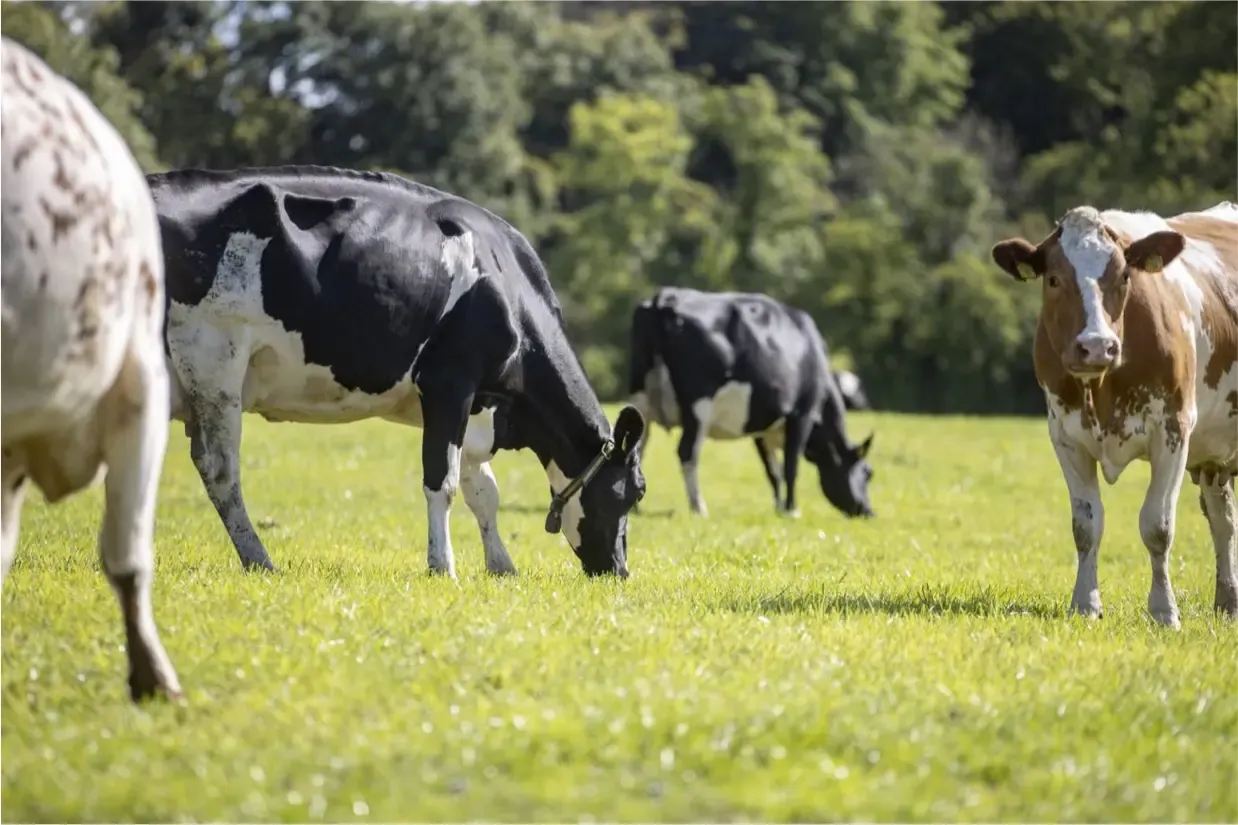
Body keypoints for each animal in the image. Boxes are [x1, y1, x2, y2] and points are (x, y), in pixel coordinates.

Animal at [145, 165, 646, 579]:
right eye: (637, 492)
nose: (619, 572)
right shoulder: (449, 383)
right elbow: (442, 483)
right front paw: (443, 567)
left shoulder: (475, 408)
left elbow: (484, 491)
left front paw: (502, 566)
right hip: (214, 362)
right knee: (220, 469)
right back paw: (259, 558)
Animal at [627, 287, 875, 519]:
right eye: (868, 473)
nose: (868, 511)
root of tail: (666, 298)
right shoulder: (802, 413)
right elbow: (791, 466)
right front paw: (792, 510)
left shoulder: (761, 427)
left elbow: (773, 471)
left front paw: (779, 508)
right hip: (699, 403)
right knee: (687, 452)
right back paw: (699, 508)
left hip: (640, 401)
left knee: (638, 448)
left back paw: (635, 509)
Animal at [991, 202, 1238, 627]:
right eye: (1053, 279)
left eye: (1124, 276)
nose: (1096, 346)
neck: (1102, 388)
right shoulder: (1066, 437)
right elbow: (1085, 526)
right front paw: (1085, 604)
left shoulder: (1174, 431)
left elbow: (1158, 526)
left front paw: (1164, 610)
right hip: (1214, 458)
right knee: (1223, 520)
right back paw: (1228, 601)